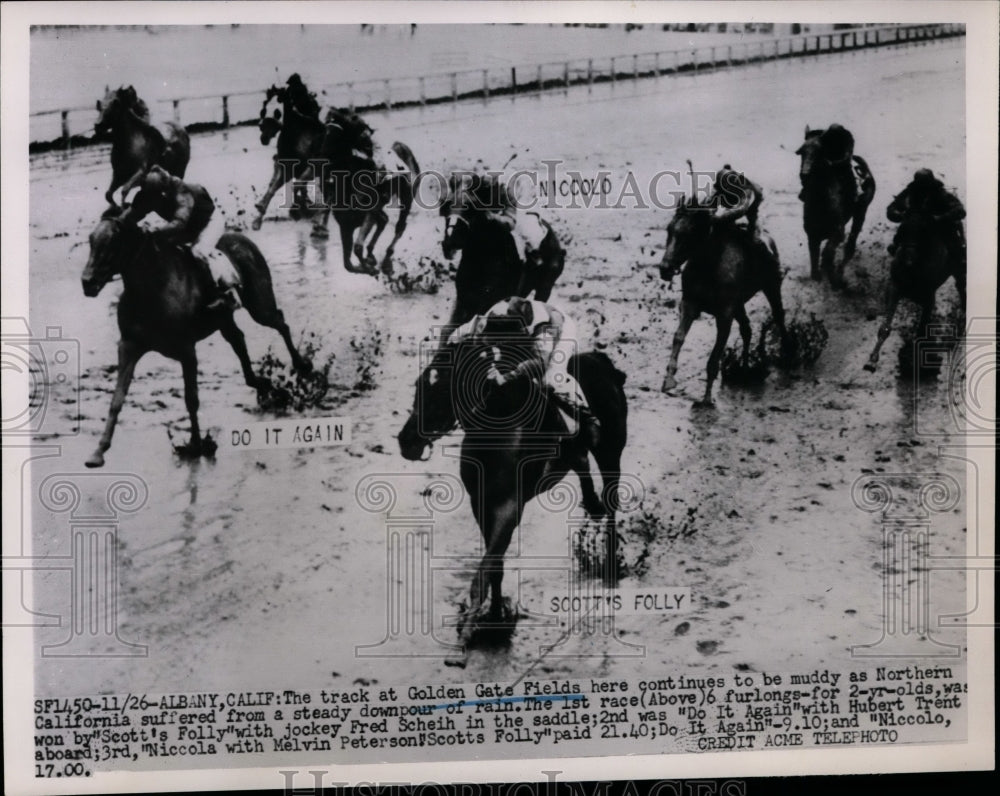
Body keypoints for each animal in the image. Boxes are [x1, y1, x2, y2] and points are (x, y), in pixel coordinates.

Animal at [80, 208, 310, 470]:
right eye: (91, 240)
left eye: (113, 242)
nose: (87, 282)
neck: (151, 287)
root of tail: (243, 239)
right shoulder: (129, 346)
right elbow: (117, 399)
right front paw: (98, 451)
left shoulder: (186, 350)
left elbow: (191, 399)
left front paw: (197, 444)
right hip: (224, 319)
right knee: (238, 339)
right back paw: (263, 384)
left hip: (260, 304)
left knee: (280, 322)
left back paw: (302, 365)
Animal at [396, 324, 624, 664]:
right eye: (419, 386)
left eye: (440, 391)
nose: (406, 441)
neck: (495, 428)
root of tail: (603, 360)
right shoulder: (481, 502)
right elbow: (496, 565)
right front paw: (494, 615)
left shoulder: (510, 506)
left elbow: (487, 565)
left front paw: (470, 630)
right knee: (581, 461)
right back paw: (592, 504)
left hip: (611, 453)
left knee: (612, 504)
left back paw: (610, 559)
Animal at [660, 197, 792, 408]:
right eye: (670, 230)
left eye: (690, 233)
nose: (664, 268)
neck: (708, 267)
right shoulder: (689, 304)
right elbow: (678, 337)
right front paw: (669, 379)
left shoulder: (724, 315)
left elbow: (715, 356)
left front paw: (707, 397)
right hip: (739, 305)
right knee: (747, 329)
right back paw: (745, 368)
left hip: (771, 287)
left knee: (778, 315)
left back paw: (787, 351)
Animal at [796, 124, 876, 286]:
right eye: (801, 152)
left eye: (819, 152)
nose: (804, 174)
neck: (821, 204)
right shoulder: (811, 235)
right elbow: (814, 256)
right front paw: (818, 274)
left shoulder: (838, 232)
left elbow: (827, 250)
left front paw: (830, 272)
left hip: (861, 211)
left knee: (852, 238)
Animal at [864, 211, 964, 374]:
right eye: (901, 231)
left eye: (924, 233)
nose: (908, 261)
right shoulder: (894, 288)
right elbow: (885, 327)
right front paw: (872, 360)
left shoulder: (929, 298)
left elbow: (921, 331)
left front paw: (914, 361)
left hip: (958, 265)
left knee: (961, 285)